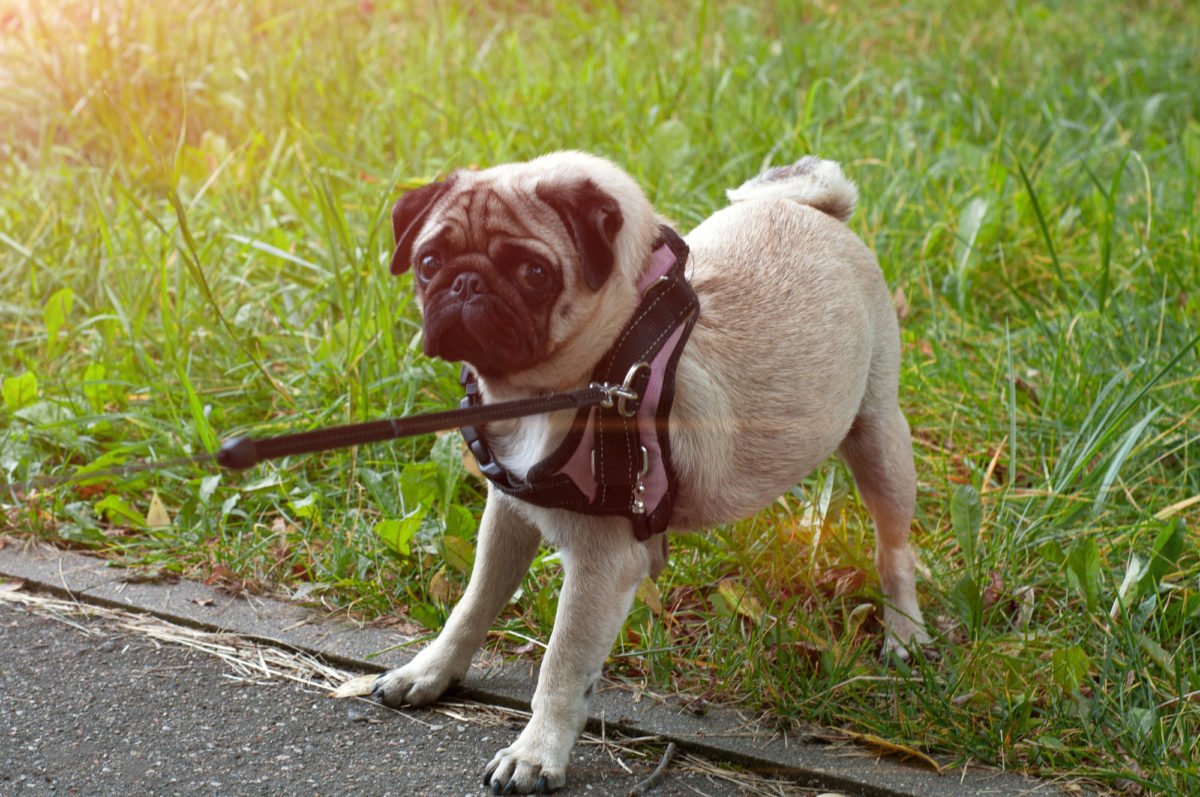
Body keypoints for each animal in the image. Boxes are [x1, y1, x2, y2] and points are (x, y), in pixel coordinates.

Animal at [374, 152, 926, 792]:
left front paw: (536, 752)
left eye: (533, 272)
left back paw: (906, 633)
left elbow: (561, 663)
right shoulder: (509, 517)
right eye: (428, 263)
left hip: (879, 438)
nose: (465, 282)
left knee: (894, 550)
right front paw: (430, 670)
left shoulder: (598, 567)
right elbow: (472, 605)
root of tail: (817, 208)